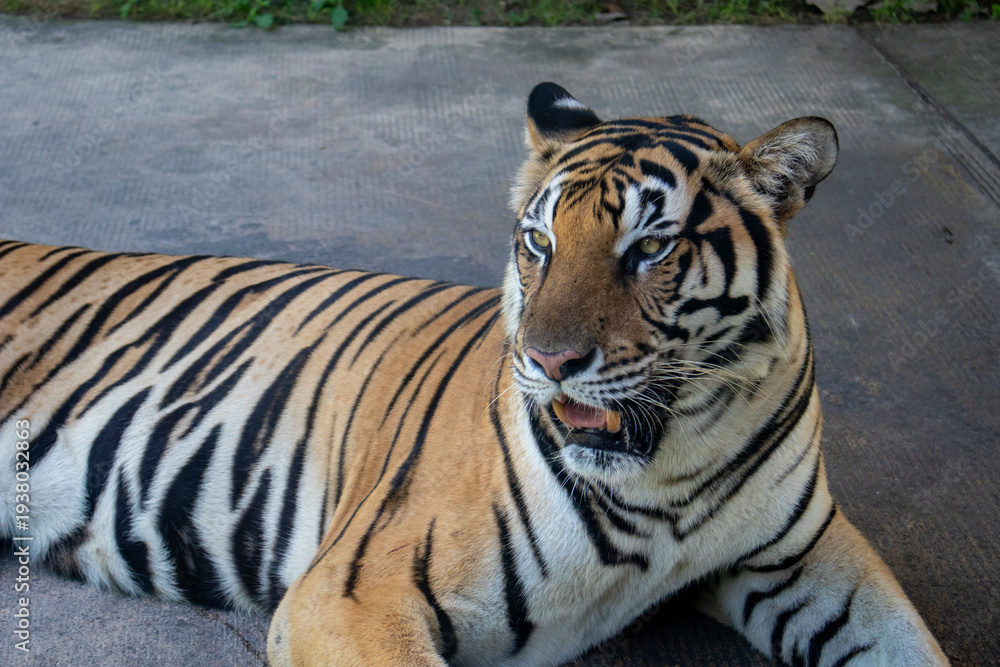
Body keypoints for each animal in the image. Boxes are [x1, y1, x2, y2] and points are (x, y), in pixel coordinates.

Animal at [0, 82, 948, 666]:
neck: (668, 474)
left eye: (650, 248)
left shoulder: (802, 554)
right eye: (539, 242)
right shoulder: (350, 593)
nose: (549, 361)